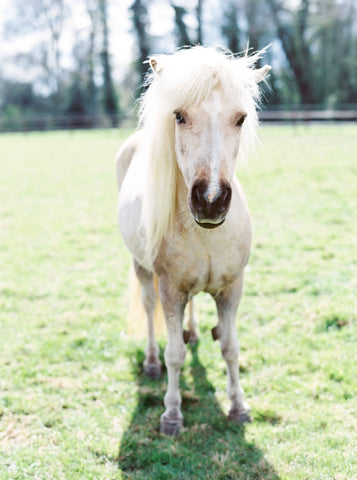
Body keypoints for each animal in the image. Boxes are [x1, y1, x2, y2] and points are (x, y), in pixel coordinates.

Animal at [117, 47, 270, 436]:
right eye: (180, 116)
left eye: (241, 118)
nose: (211, 200)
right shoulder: (171, 291)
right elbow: (175, 355)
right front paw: (172, 415)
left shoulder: (231, 289)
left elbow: (230, 347)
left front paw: (238, 407)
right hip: (141, 269)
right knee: (148, 309)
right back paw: (151, 363)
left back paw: (195, 332)